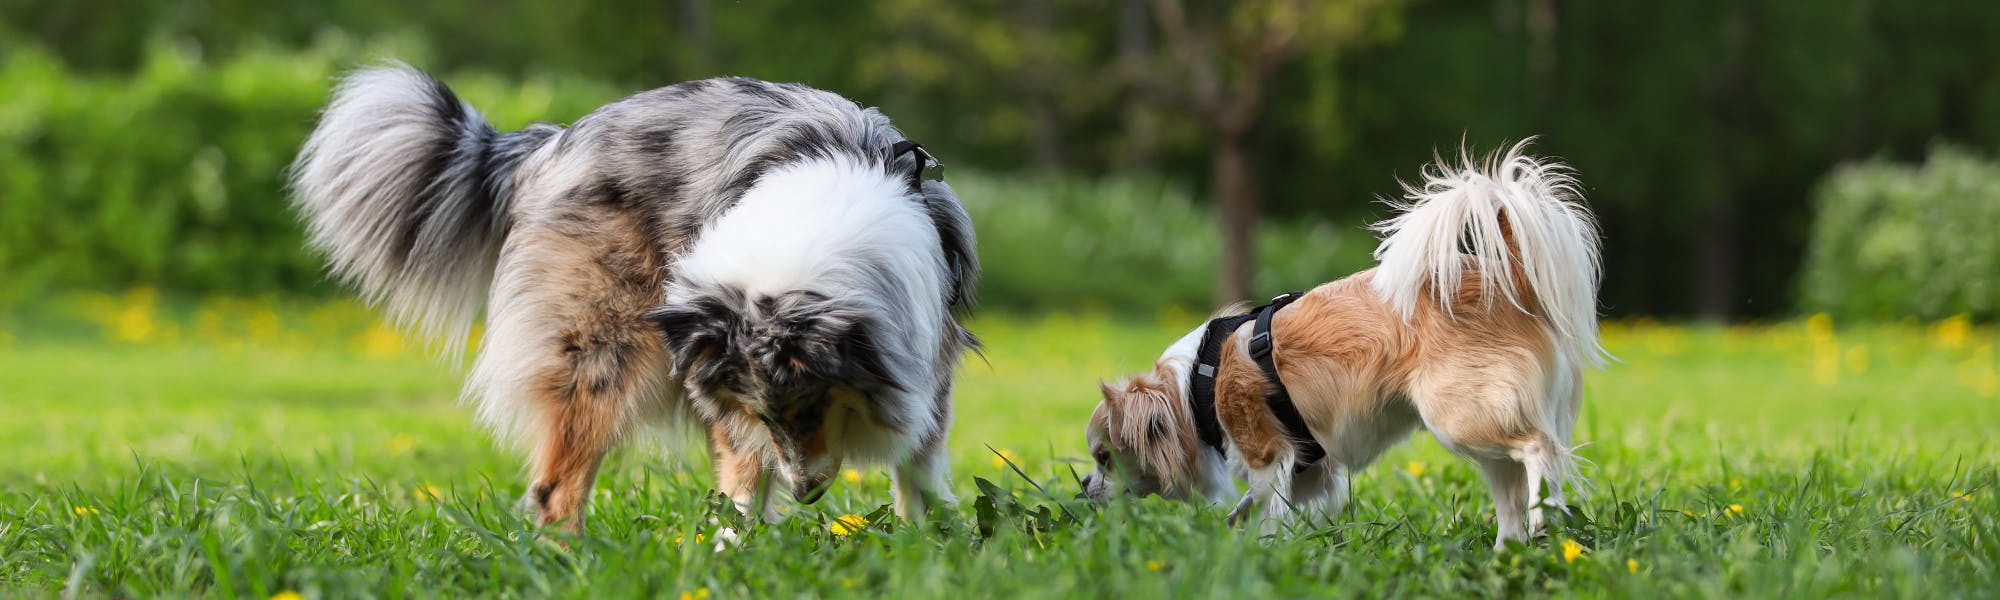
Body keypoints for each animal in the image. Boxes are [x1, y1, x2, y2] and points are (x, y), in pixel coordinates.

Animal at [292, 64, 980, 528]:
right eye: (777, 414)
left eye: (812, 409)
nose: (807, 491)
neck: (806, 225)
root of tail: (542, 146)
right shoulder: (724, 382)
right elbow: (743, 471)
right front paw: (733, 552)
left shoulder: (927, 355)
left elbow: (919, 462)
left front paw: (929, 537)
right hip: (601, 352)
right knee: (556, 487)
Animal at [1080, 143, 1608, 548]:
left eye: (1104, 457)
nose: (1083, 485)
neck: (1195, 386)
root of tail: (1512, 278)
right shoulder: (1309, 468)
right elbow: (1258, 506)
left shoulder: (1268, 453)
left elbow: (1266, 504)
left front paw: (1260, 551)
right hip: (1485, 436)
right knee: (1511, 498)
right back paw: (1508, 551)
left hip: (1460, 414)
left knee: (1541, 448)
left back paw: (1543, 514)